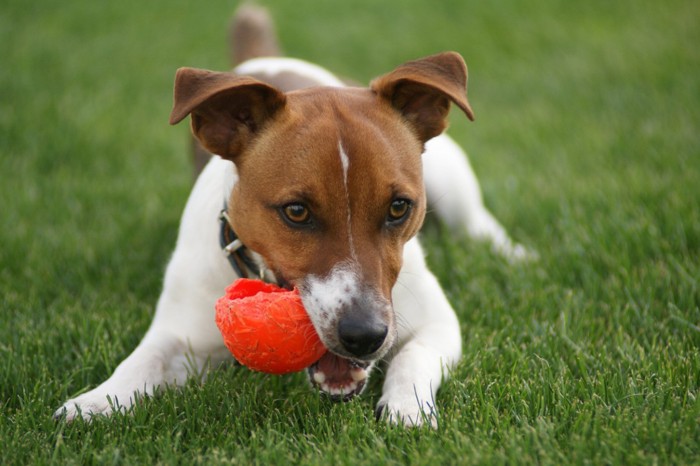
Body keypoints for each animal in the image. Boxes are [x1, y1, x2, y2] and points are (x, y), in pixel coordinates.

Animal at [54, 4, 528, 426]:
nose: (364, 336)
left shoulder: (436, 323)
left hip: (453, 178)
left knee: (478, 224)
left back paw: (514, 255)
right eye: (296, 212)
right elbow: (140, 363)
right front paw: (94, 402)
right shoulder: (178, 334)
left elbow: (414, 357)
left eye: (399, 207)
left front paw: (407, 408)